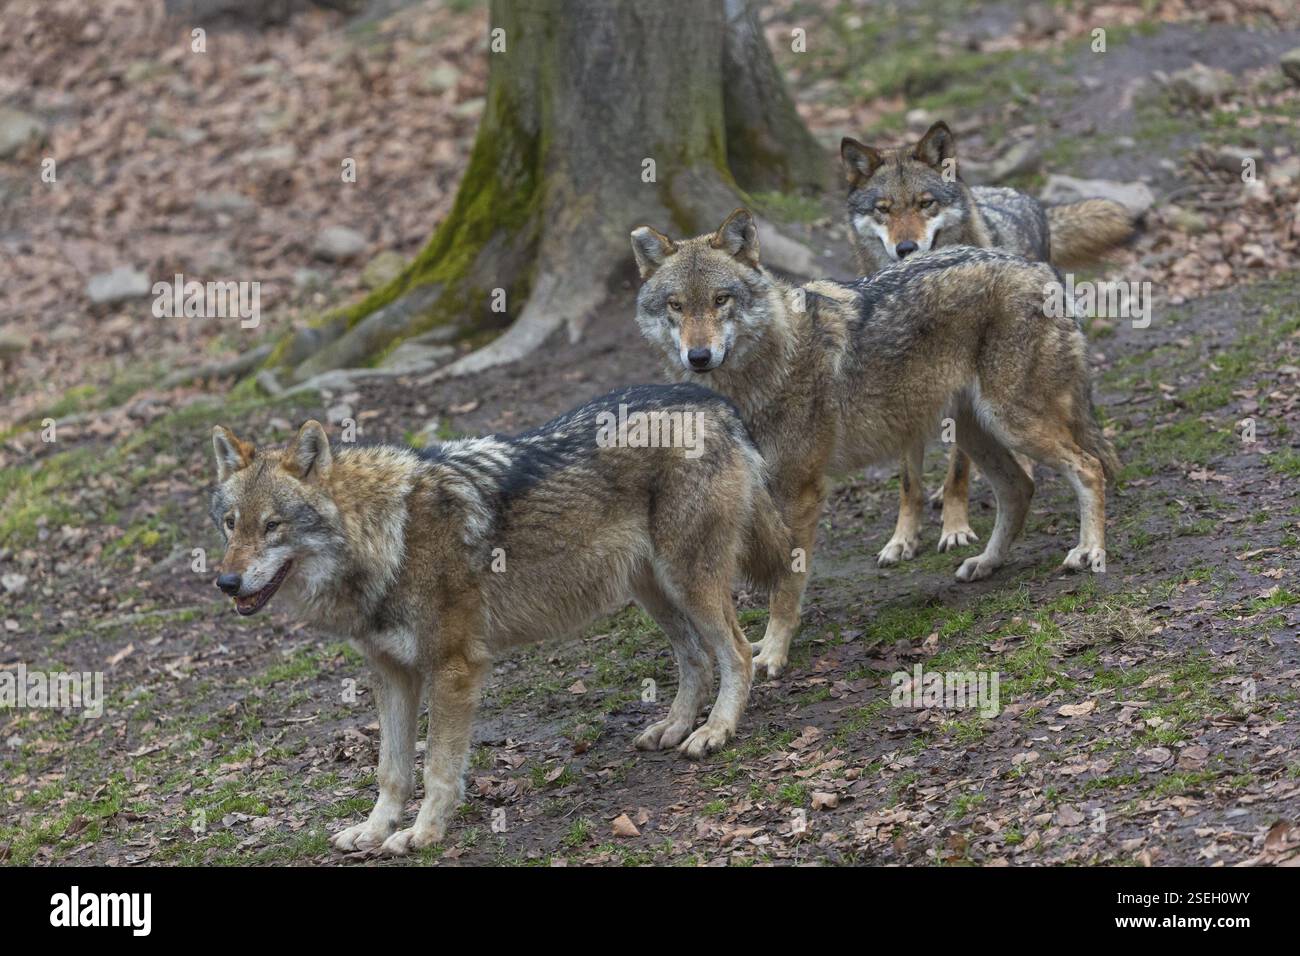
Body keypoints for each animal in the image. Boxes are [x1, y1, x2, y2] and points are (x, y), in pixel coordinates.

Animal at [207, 384, 788, 854]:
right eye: (231, 524)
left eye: (273, 526)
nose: (226, 583)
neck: (387, 538)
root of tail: (713, 401)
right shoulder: (391, 674)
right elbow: (391, 771)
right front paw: (373, 831)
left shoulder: (454, 667)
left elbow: (438, 768)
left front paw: (422, 834)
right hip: (655, 592)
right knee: (695, 659)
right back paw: (674, 726)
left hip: (689, 582)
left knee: (738, 653)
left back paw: (715, 731)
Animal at [631, 210, 1118, 679]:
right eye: (676, 305)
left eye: (721, 300)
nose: (698, 356)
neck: (761, 371)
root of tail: (1037, 267)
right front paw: (762, 647)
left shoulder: (801, 492)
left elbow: (785, 586)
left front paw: (773, 653)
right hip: (977, 431)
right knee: (1020, 488)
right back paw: (986, 563)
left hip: (1013, 423)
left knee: (1089, 467)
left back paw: (1090, 551)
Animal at [840, 121, 1133, 561]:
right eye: (884, 209)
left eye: (925, 204)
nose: (906, 247)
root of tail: (1014, 194)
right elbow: (909, 482)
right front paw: (902, 539)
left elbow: (958, 470)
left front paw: (955, 530)